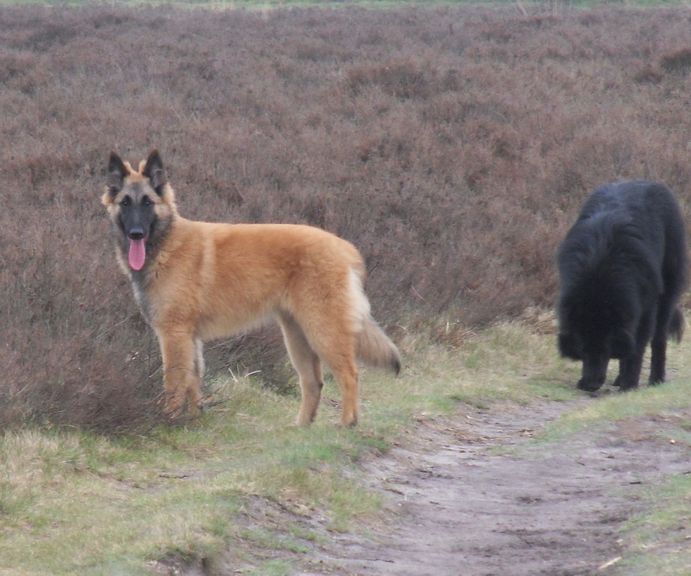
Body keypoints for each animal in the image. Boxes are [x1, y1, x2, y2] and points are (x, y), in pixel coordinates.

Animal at [102, 151, 400, 426]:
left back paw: (348, 423)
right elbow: (194, 381)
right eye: (125, 203)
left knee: (349, 374)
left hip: (323, 330)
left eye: (147, 203)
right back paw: (302, 426)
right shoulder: (190, 338)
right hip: (297, 336)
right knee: (313, 381)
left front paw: (169, 420)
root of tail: (346, 249)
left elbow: (174, 383)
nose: (136, 234)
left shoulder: (174, 335)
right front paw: (194, 420)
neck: (166, 243)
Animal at [560, 181, 688, 392]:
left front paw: (629, 384)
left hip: (667, 293)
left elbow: (636, 349)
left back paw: (656, 379)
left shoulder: (643, 307)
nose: (590, 385)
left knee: (659, 339)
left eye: (605, 350)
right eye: (582, 350)